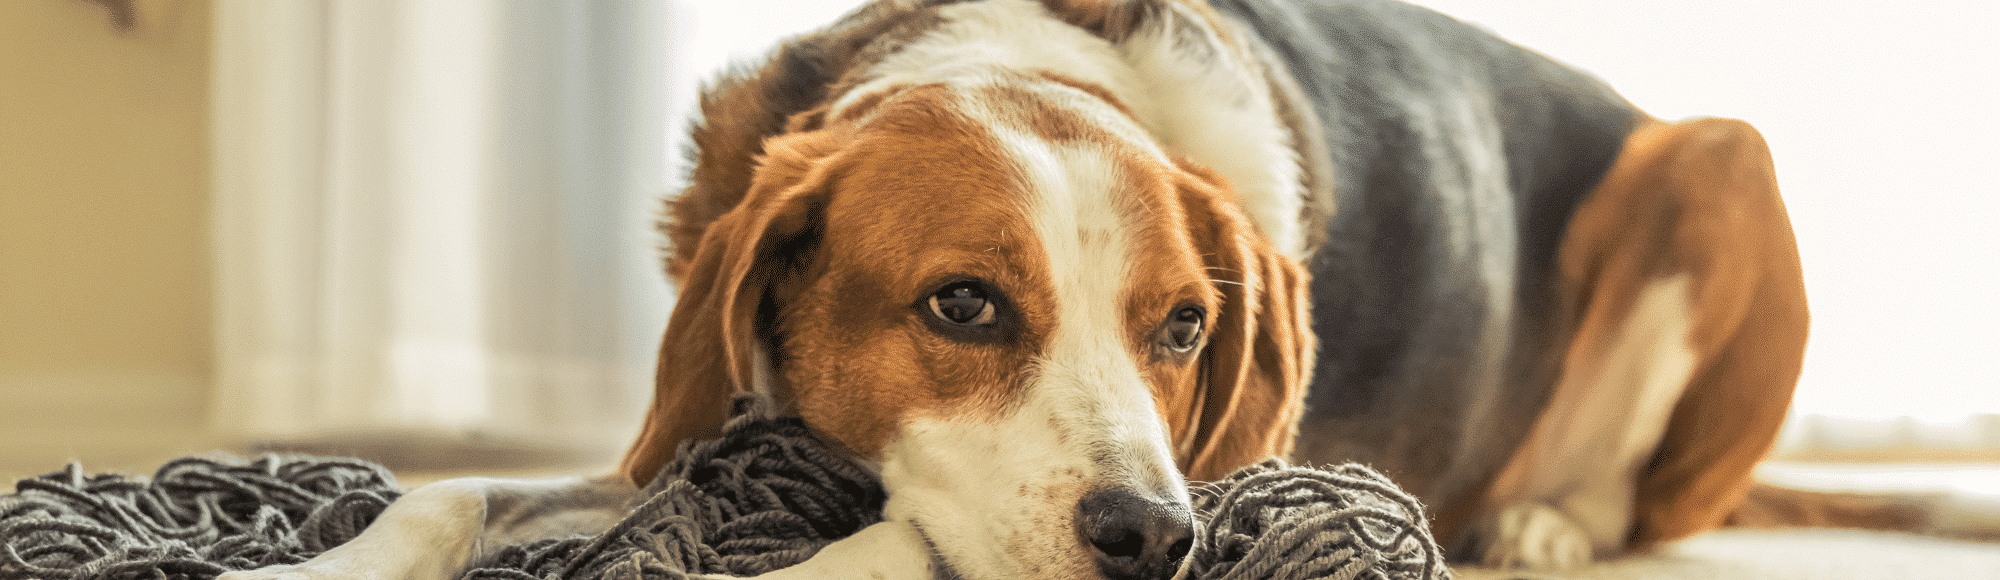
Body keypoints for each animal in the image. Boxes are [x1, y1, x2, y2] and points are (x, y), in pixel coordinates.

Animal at [219, 1, 1816, 580]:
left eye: (1184, 327)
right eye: (963, 305)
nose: (1154, 541)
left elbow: (889, 543)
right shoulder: (679, 428)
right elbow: (444, 493)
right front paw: (312, 567)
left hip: (1720, 159)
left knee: (1634, 497)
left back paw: (1545, 523)